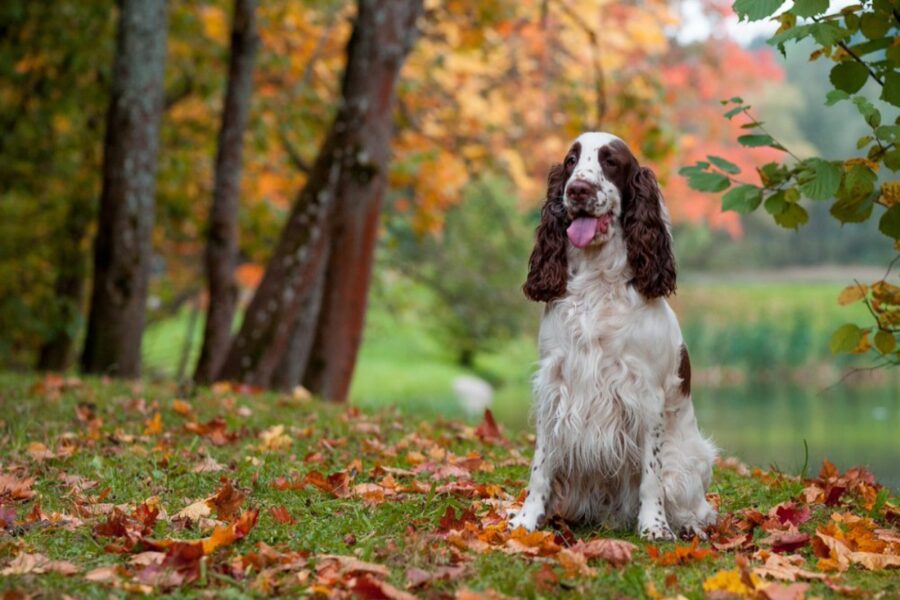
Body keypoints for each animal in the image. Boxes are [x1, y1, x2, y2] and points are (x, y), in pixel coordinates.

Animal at [512, 132, 716, 540]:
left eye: (610, 161)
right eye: (571, 160)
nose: (577, 189)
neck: (596, 281)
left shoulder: (647, 394)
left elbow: (651, 476)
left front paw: (654, 527)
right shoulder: (554, 385)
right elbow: (540, 467)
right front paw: (526, 520)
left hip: (691, 460)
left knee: (697, 507)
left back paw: (688, 526)